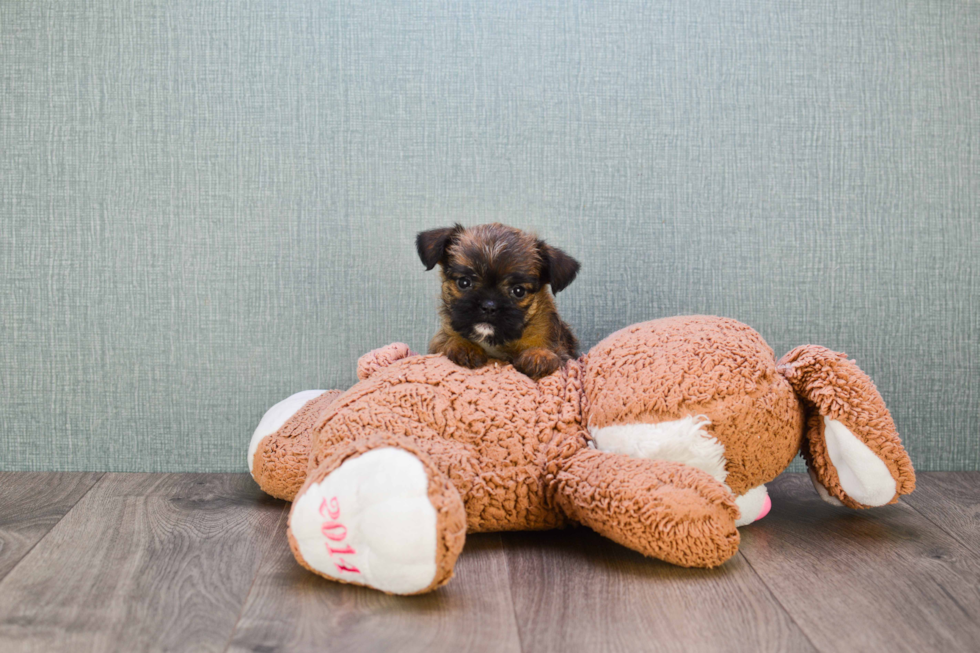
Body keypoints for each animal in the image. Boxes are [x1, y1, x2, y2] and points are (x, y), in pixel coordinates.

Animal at [416, 223, 580, 380]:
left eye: (519, 291)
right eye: (464, 282)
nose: (489, 306)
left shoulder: (563, 353)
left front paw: (538, 355)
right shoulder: (439, 342)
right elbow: (446, 341)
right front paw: (463, 345)